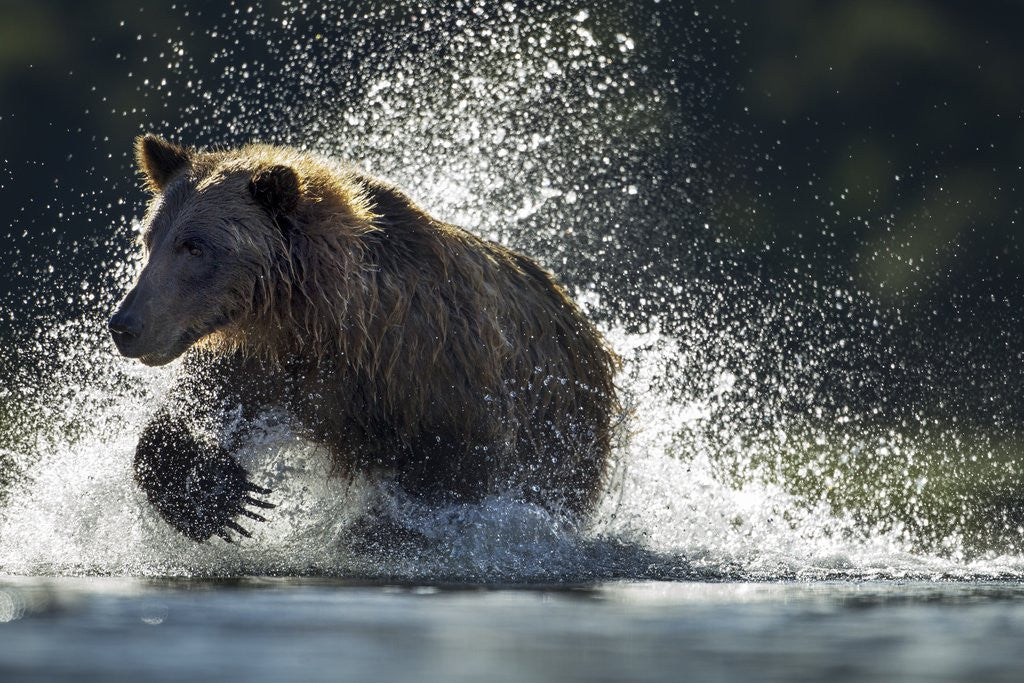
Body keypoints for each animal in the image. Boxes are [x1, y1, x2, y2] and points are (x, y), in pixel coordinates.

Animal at [109, 134, 620, 543]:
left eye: (194, 246)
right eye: (150, 239)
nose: (124, 325)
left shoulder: (434, 374)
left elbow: (455, 477)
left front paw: (383, 530)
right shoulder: (268, 360)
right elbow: (197, 408)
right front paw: (220, 496)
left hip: (566, 427)